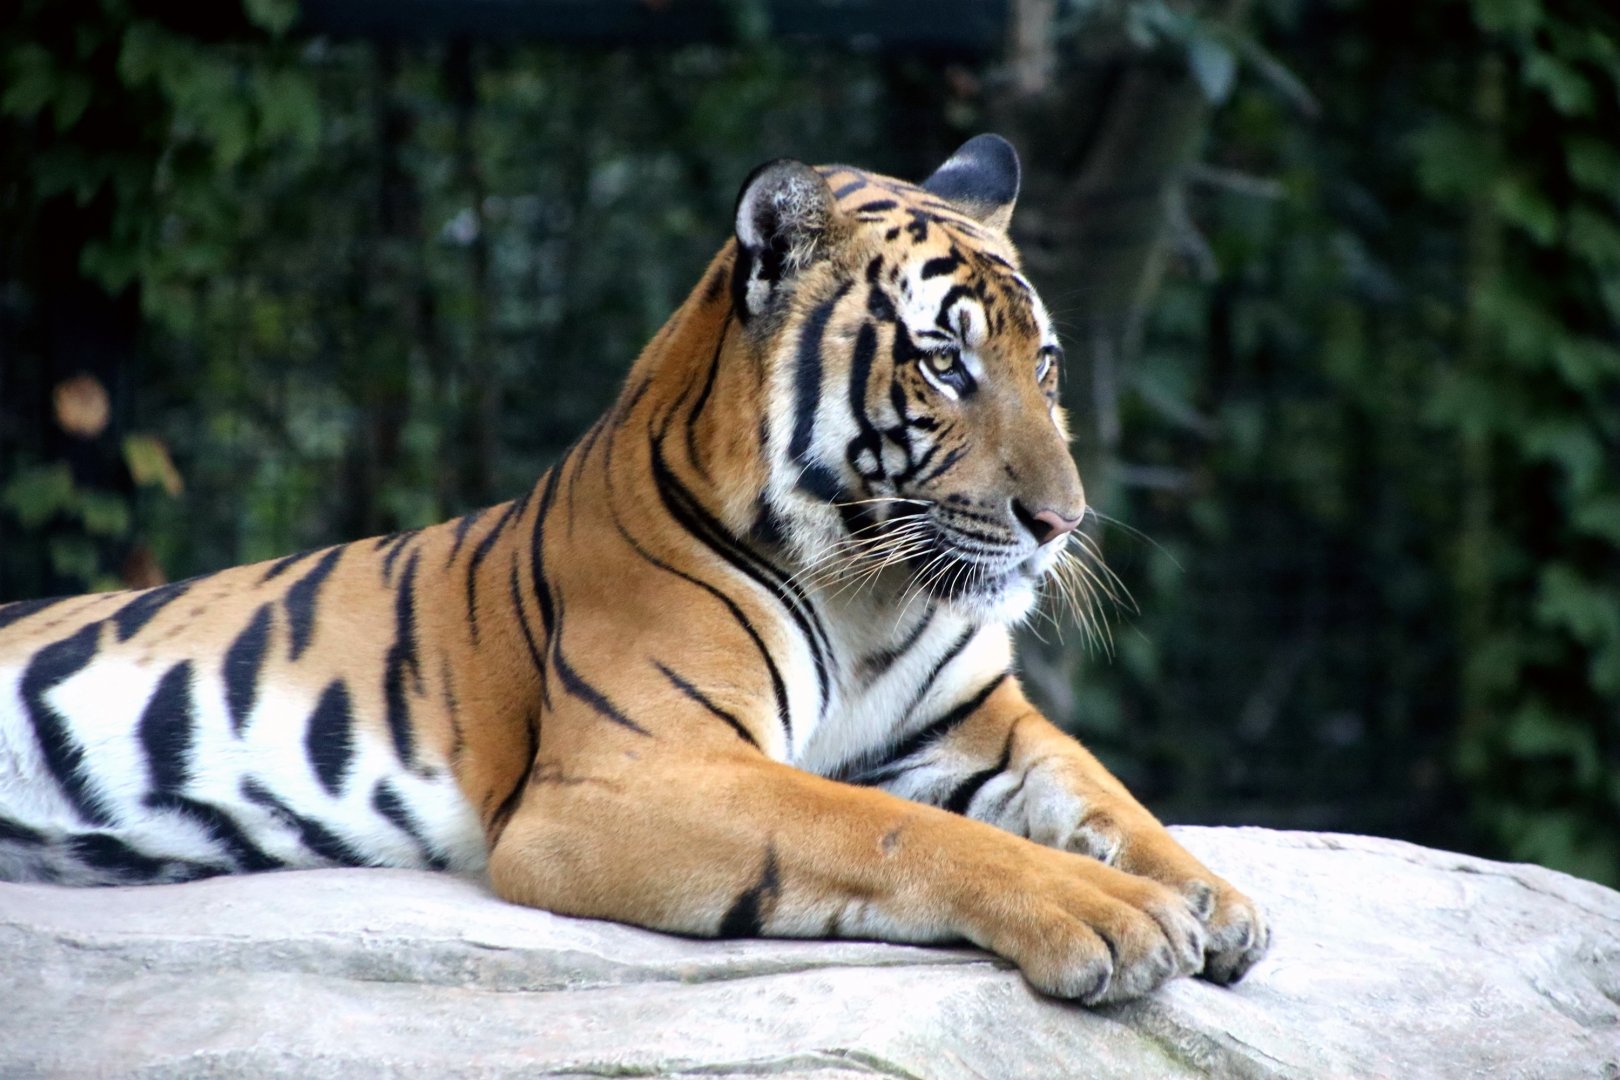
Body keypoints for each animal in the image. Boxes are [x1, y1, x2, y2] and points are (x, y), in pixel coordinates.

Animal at [0, 135, 1268, 1003]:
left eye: (1043, 365)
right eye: (945, 362)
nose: (1063, 521)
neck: (870, 586)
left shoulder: (974, 720)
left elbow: (1097, 789)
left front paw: (1216, 899)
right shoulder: (628, 775)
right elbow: (892, 832)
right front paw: (1119, 917)